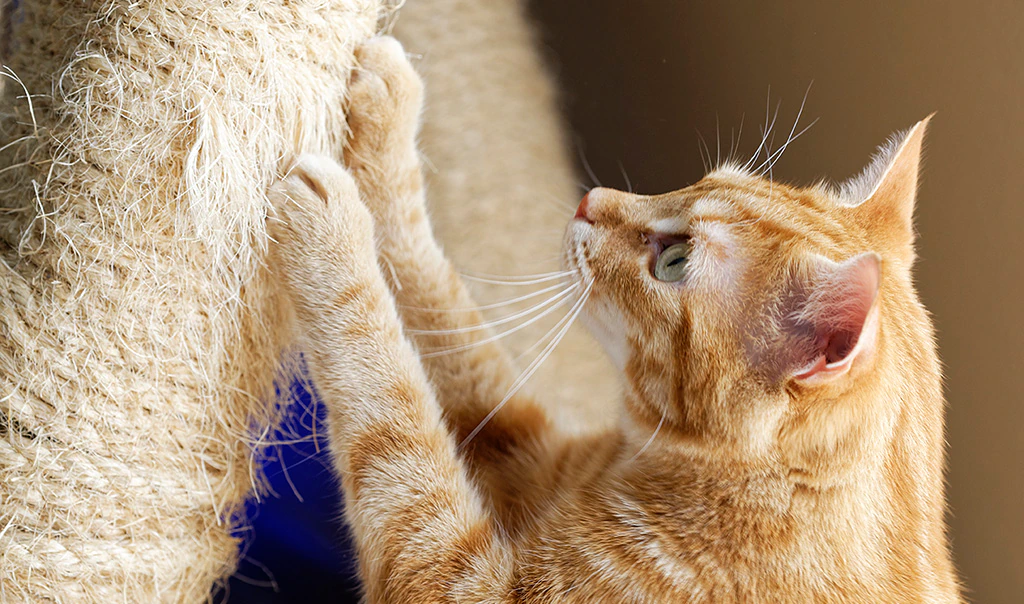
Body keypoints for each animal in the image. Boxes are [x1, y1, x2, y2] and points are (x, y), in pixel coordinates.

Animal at [268, 36, 954, 604]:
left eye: (675, 262)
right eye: (699, 177)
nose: (589, 199)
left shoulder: (456, 580)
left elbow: (389, 404)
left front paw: (332, 235)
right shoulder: (524, 449)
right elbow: (439, 303)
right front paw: (388, 116)